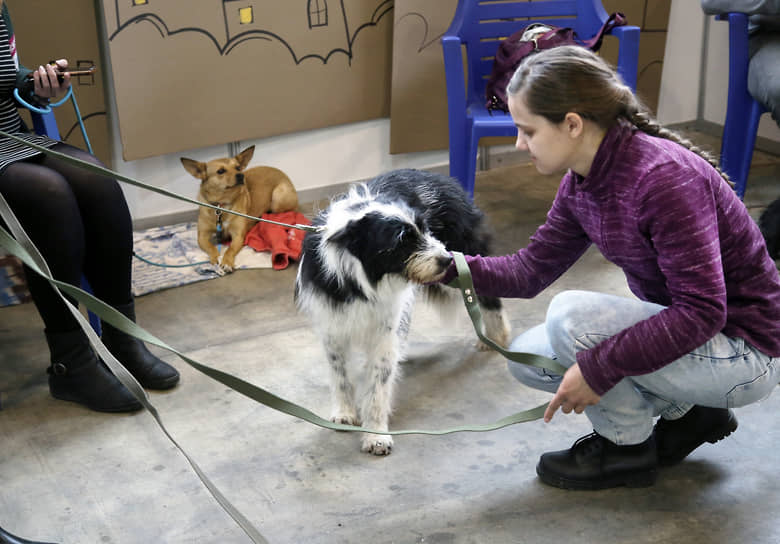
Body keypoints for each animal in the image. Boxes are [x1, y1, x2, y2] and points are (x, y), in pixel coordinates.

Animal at [296, 169, 508, 454]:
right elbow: (339, 373)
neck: (360, 277)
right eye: (401, 241)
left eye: (425, 229)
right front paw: (345, 413)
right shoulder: (332, 324)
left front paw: (376, 435)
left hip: (468, 253)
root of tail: (443, 178)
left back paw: (497, 338)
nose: (446, 259)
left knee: (488, 295)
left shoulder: (383, 327)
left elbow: (379, 383)